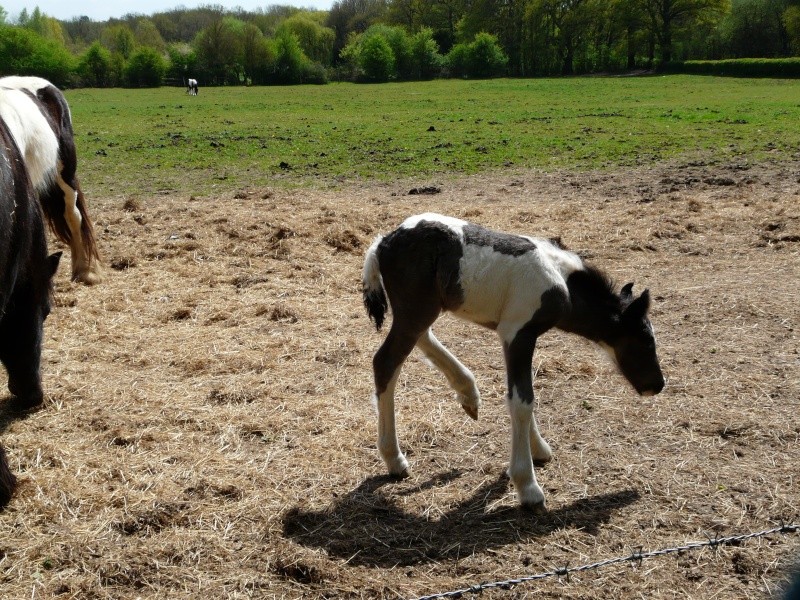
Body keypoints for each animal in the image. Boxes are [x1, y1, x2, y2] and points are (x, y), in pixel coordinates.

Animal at [362, 213, 664, 512]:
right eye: (646, 339)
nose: (658, 385)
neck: (562, 282)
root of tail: (383, 242)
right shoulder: (518, 333)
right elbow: (522, 400)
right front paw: (528, 486)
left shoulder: (510, 337)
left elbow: (520, 392)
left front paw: (538, 448)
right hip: (416, 309)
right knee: (386, 361)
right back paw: (394, 459)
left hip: (424, 309)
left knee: (422, 337)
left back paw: (468, 393)